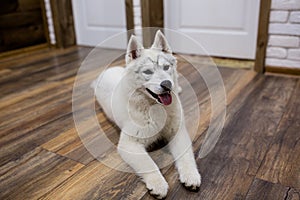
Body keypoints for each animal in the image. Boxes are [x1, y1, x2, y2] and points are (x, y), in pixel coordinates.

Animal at [93, 30, 202, 198]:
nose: (167, 85)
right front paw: (158, 183)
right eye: (148, 72)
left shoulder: (177, 133)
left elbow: (186, 156)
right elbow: (148, 162)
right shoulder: (129, 144)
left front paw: (191, 175)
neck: (154, 107)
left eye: (166, 67)